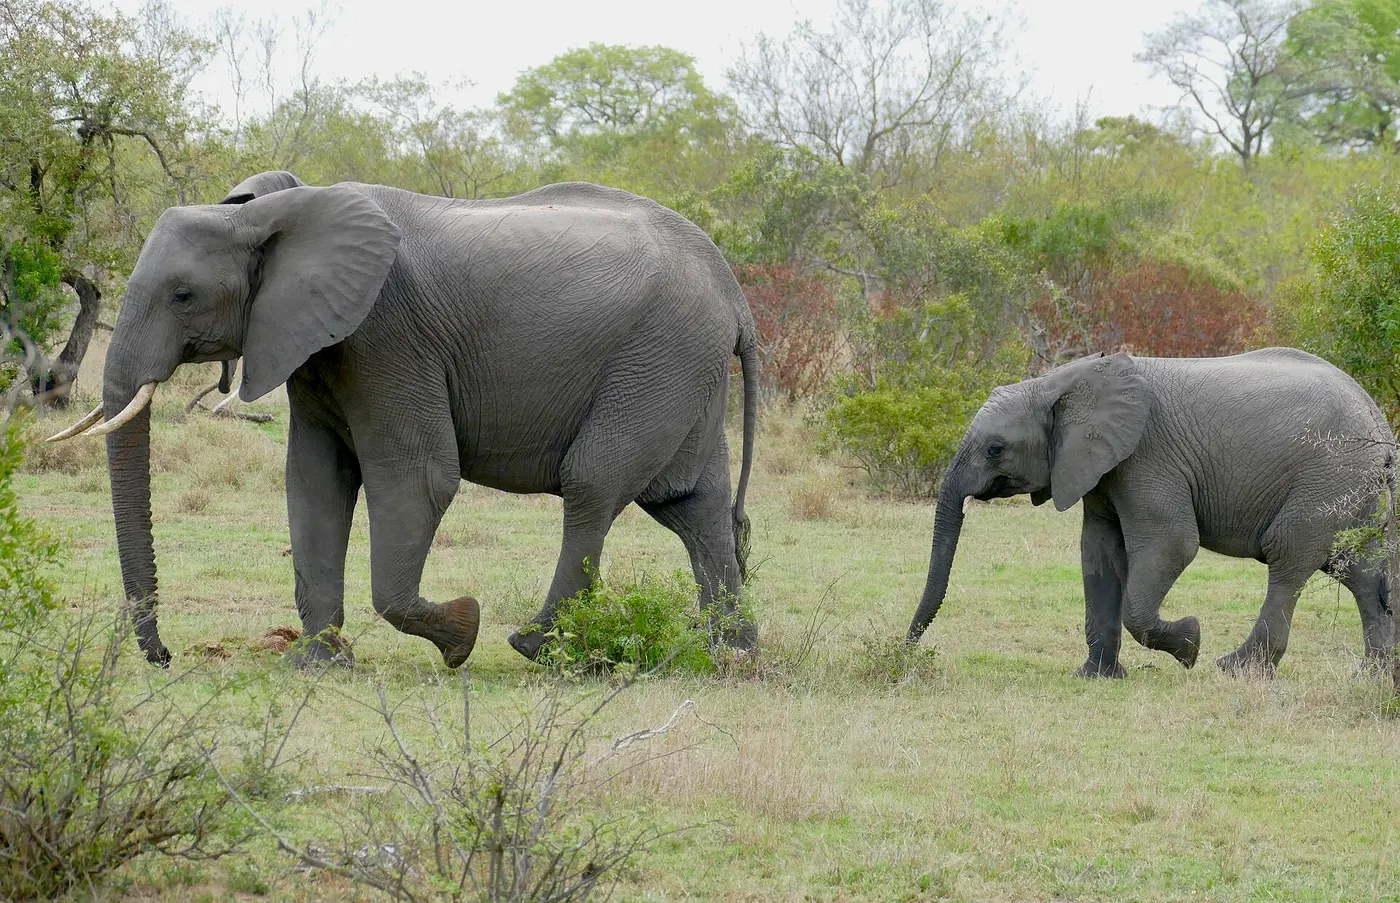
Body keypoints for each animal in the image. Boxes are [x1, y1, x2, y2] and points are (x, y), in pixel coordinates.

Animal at [45, 171, 760, 669]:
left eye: (184, 295)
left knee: (593, 483)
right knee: (692, 505)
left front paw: (462, 633)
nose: (164, 658)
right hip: (682, 371)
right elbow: (315, 481)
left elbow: (419, 478)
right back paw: (733, 655)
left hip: (659, 357)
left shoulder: (387, 336)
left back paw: (532, 645)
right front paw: (318, 663)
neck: (277, 213)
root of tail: (733, 291)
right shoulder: (314, 346)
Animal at [906, 348, 1397, 677]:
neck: (1060, 382)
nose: (905, 646)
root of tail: (1379, 420)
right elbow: (1099, 552)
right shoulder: (1100, 467)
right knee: (1359, 571)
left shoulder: (1146, 456)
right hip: (1351, 486)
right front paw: (1097, 677)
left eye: (995, 449)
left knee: (1289, 555)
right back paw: (1373, 676)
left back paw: (1235, 668)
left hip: (1329, 473)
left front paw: (1190, 646)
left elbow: (1172, 545)